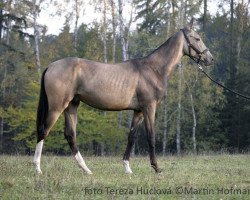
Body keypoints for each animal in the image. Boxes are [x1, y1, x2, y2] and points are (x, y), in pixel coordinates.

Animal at [32, 25, 213, 174]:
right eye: (197, 38)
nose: (210, 59)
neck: (153, 69)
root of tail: (51, 66)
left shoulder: (138, 111)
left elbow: (131, 137)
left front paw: (127, 167)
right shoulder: (149, 107)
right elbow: (151, 136)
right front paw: (156, 167)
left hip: (72, 105)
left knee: (70, 135)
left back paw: (86, 169)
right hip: (57, 106)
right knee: (43, 131)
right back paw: (37, 168)